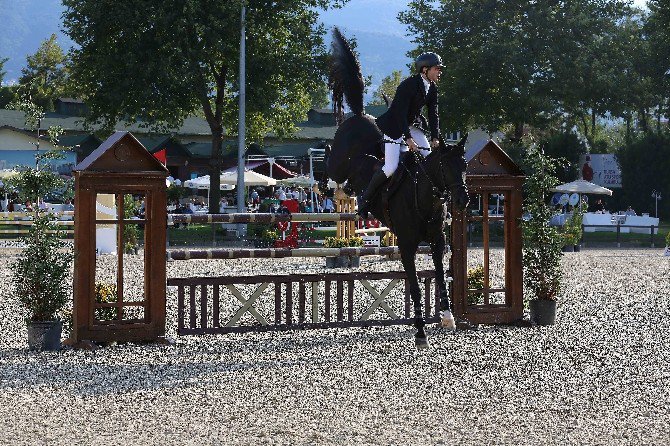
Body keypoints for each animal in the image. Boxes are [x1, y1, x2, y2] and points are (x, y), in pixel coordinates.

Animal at [326, 27, 472, 348]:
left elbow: (440, 276)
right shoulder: (405, 244)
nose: (463, 200)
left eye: (465, 167)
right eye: (447, 168)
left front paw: (447, 317)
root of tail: (361, 115)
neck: (425, 195)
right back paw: (324, 184)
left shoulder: (437, 241)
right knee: (330, 165)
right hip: (340, 161)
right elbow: (415, 286)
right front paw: (420, 333)